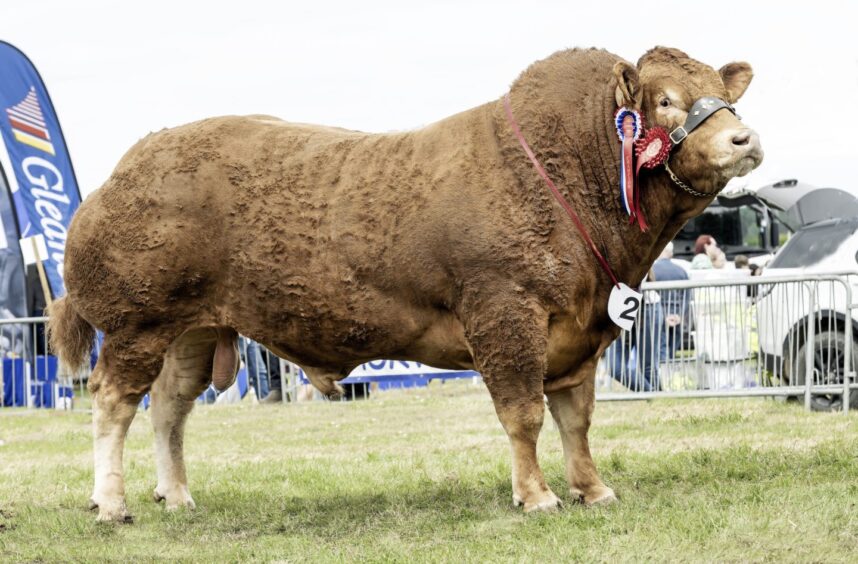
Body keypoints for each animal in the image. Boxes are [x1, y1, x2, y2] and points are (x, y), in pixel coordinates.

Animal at [46, 46, 760, 524]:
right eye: (664, 100)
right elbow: (524, 414)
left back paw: (176, 494)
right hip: (138, 323)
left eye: (725, 95)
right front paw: (537, 496)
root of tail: (126, 169)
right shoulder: (506, 315)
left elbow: (575, 419)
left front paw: (592, 489)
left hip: (193, 328)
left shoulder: (580, 331)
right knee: (112, 403)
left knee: (169, 408)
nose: (744, 137)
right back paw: (111, 503)